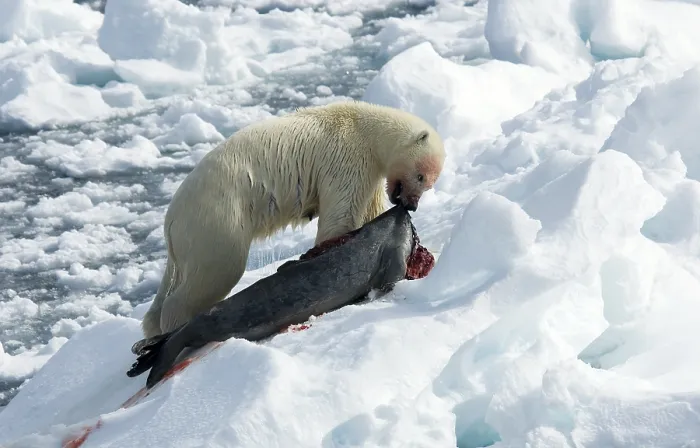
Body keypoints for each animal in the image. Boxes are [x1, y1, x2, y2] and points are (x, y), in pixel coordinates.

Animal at [141, 100, 446, 338]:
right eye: (420, 176)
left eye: (430, 183)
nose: (411, 204)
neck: (365, 127)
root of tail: (170, 221)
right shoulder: (346, 157)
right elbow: (340, 215)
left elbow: (370, 209)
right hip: (217, 219)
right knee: (215, 271)